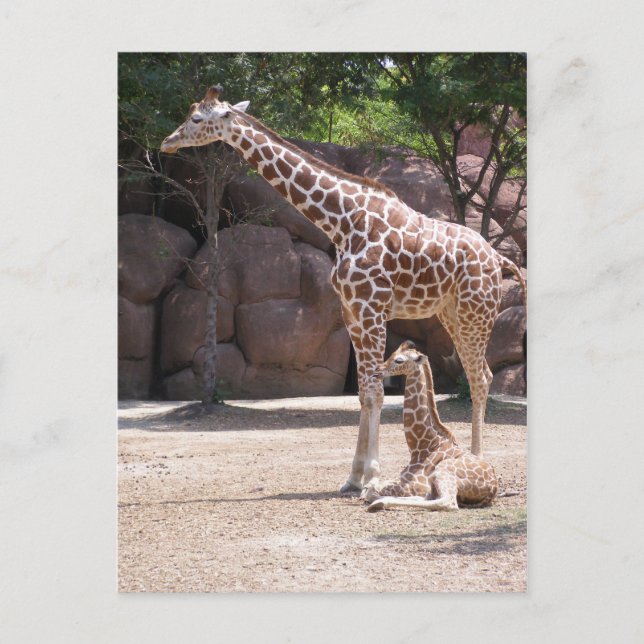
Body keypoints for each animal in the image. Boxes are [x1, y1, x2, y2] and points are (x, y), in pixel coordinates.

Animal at [160, 84, 526, 494]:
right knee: (484, 374)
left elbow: (376, 390)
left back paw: (475, 463)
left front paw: (372, 478)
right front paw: (353, 477)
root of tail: (499, 258)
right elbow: (363, 393)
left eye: (195, 119)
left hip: (475, 311)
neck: (342, 221)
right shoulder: (352, 311)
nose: (166, 142)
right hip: (451, 314)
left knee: (480, 378)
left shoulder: (372, 307)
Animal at [363, 341, 498, 512]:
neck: (421, 446)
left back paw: (380, 503)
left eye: (399, 360)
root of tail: (493, 488)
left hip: (444, 471)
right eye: (392, 354)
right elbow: (374, 487)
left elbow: (373, 490)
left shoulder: (415, 485)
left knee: (448, 502)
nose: (377, 370)